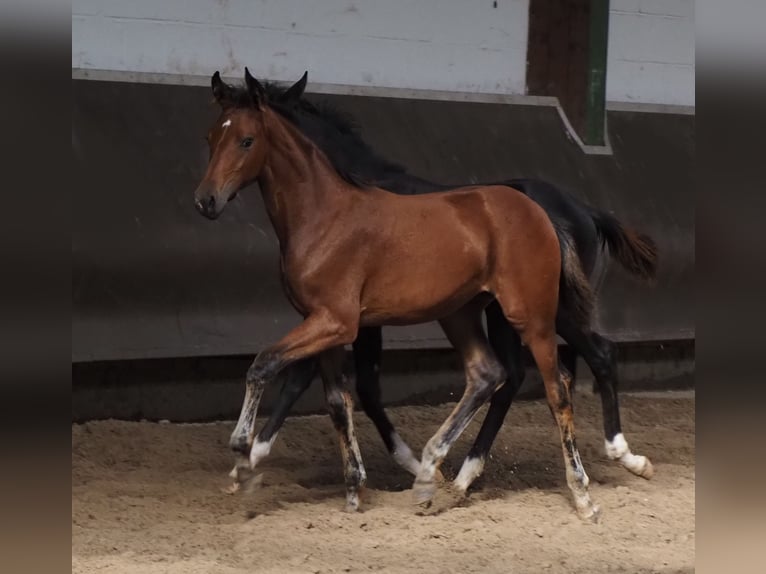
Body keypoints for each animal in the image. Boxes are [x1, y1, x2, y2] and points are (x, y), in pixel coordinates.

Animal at [212, 71, 660, 496]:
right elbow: (334, 381)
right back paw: (469, 472)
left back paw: (621, 454)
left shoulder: (352, 316)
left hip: (547, 309)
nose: (208, 200)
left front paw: (252, 454)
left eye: (247, 141)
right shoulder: (350, 315)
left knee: (594, 356)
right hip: (506, 313)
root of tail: (582, 208)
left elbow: (340, 382)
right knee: (520, 374)